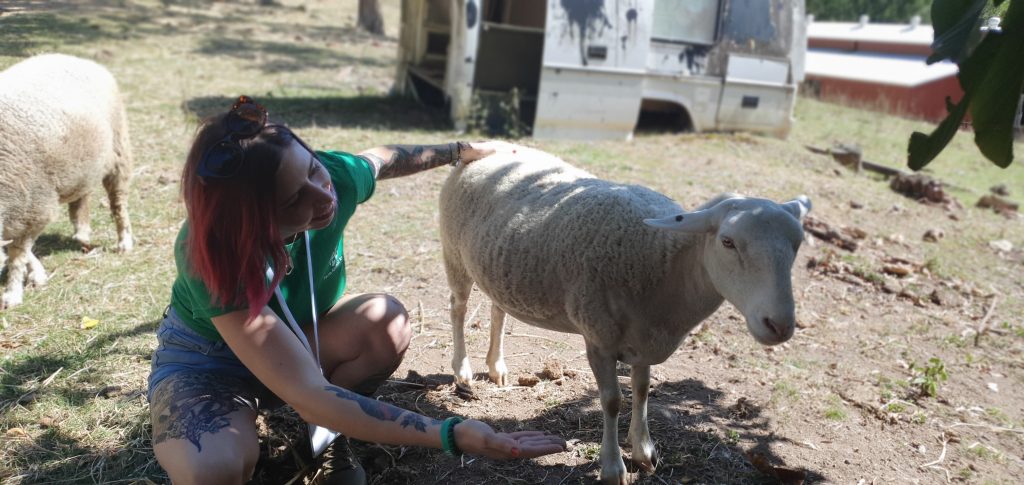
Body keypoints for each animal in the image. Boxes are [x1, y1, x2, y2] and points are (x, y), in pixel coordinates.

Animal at [0, 53, 134, 311]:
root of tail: (79, 59)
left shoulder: (34, 208)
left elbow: (18, 253)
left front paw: (13, 293)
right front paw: (37, 274)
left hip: (118, 150)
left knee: (118, 203)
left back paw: (124, 242)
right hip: (83, 165)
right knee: (82, 197)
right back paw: (81, 233)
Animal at [438, 146, 806, 482]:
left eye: (798, 244)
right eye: (728, 242)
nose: (780, 325)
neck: (666, 262)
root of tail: (489, 148)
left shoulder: (644, 338)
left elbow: (642, 390)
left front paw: (643, 452)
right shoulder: (598, 337)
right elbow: (613, 401)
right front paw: (614, 467)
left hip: (498, 268)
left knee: (498, 310)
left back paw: (496, 367)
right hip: (453, 253)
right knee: (458, 308)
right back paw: (463, 370)